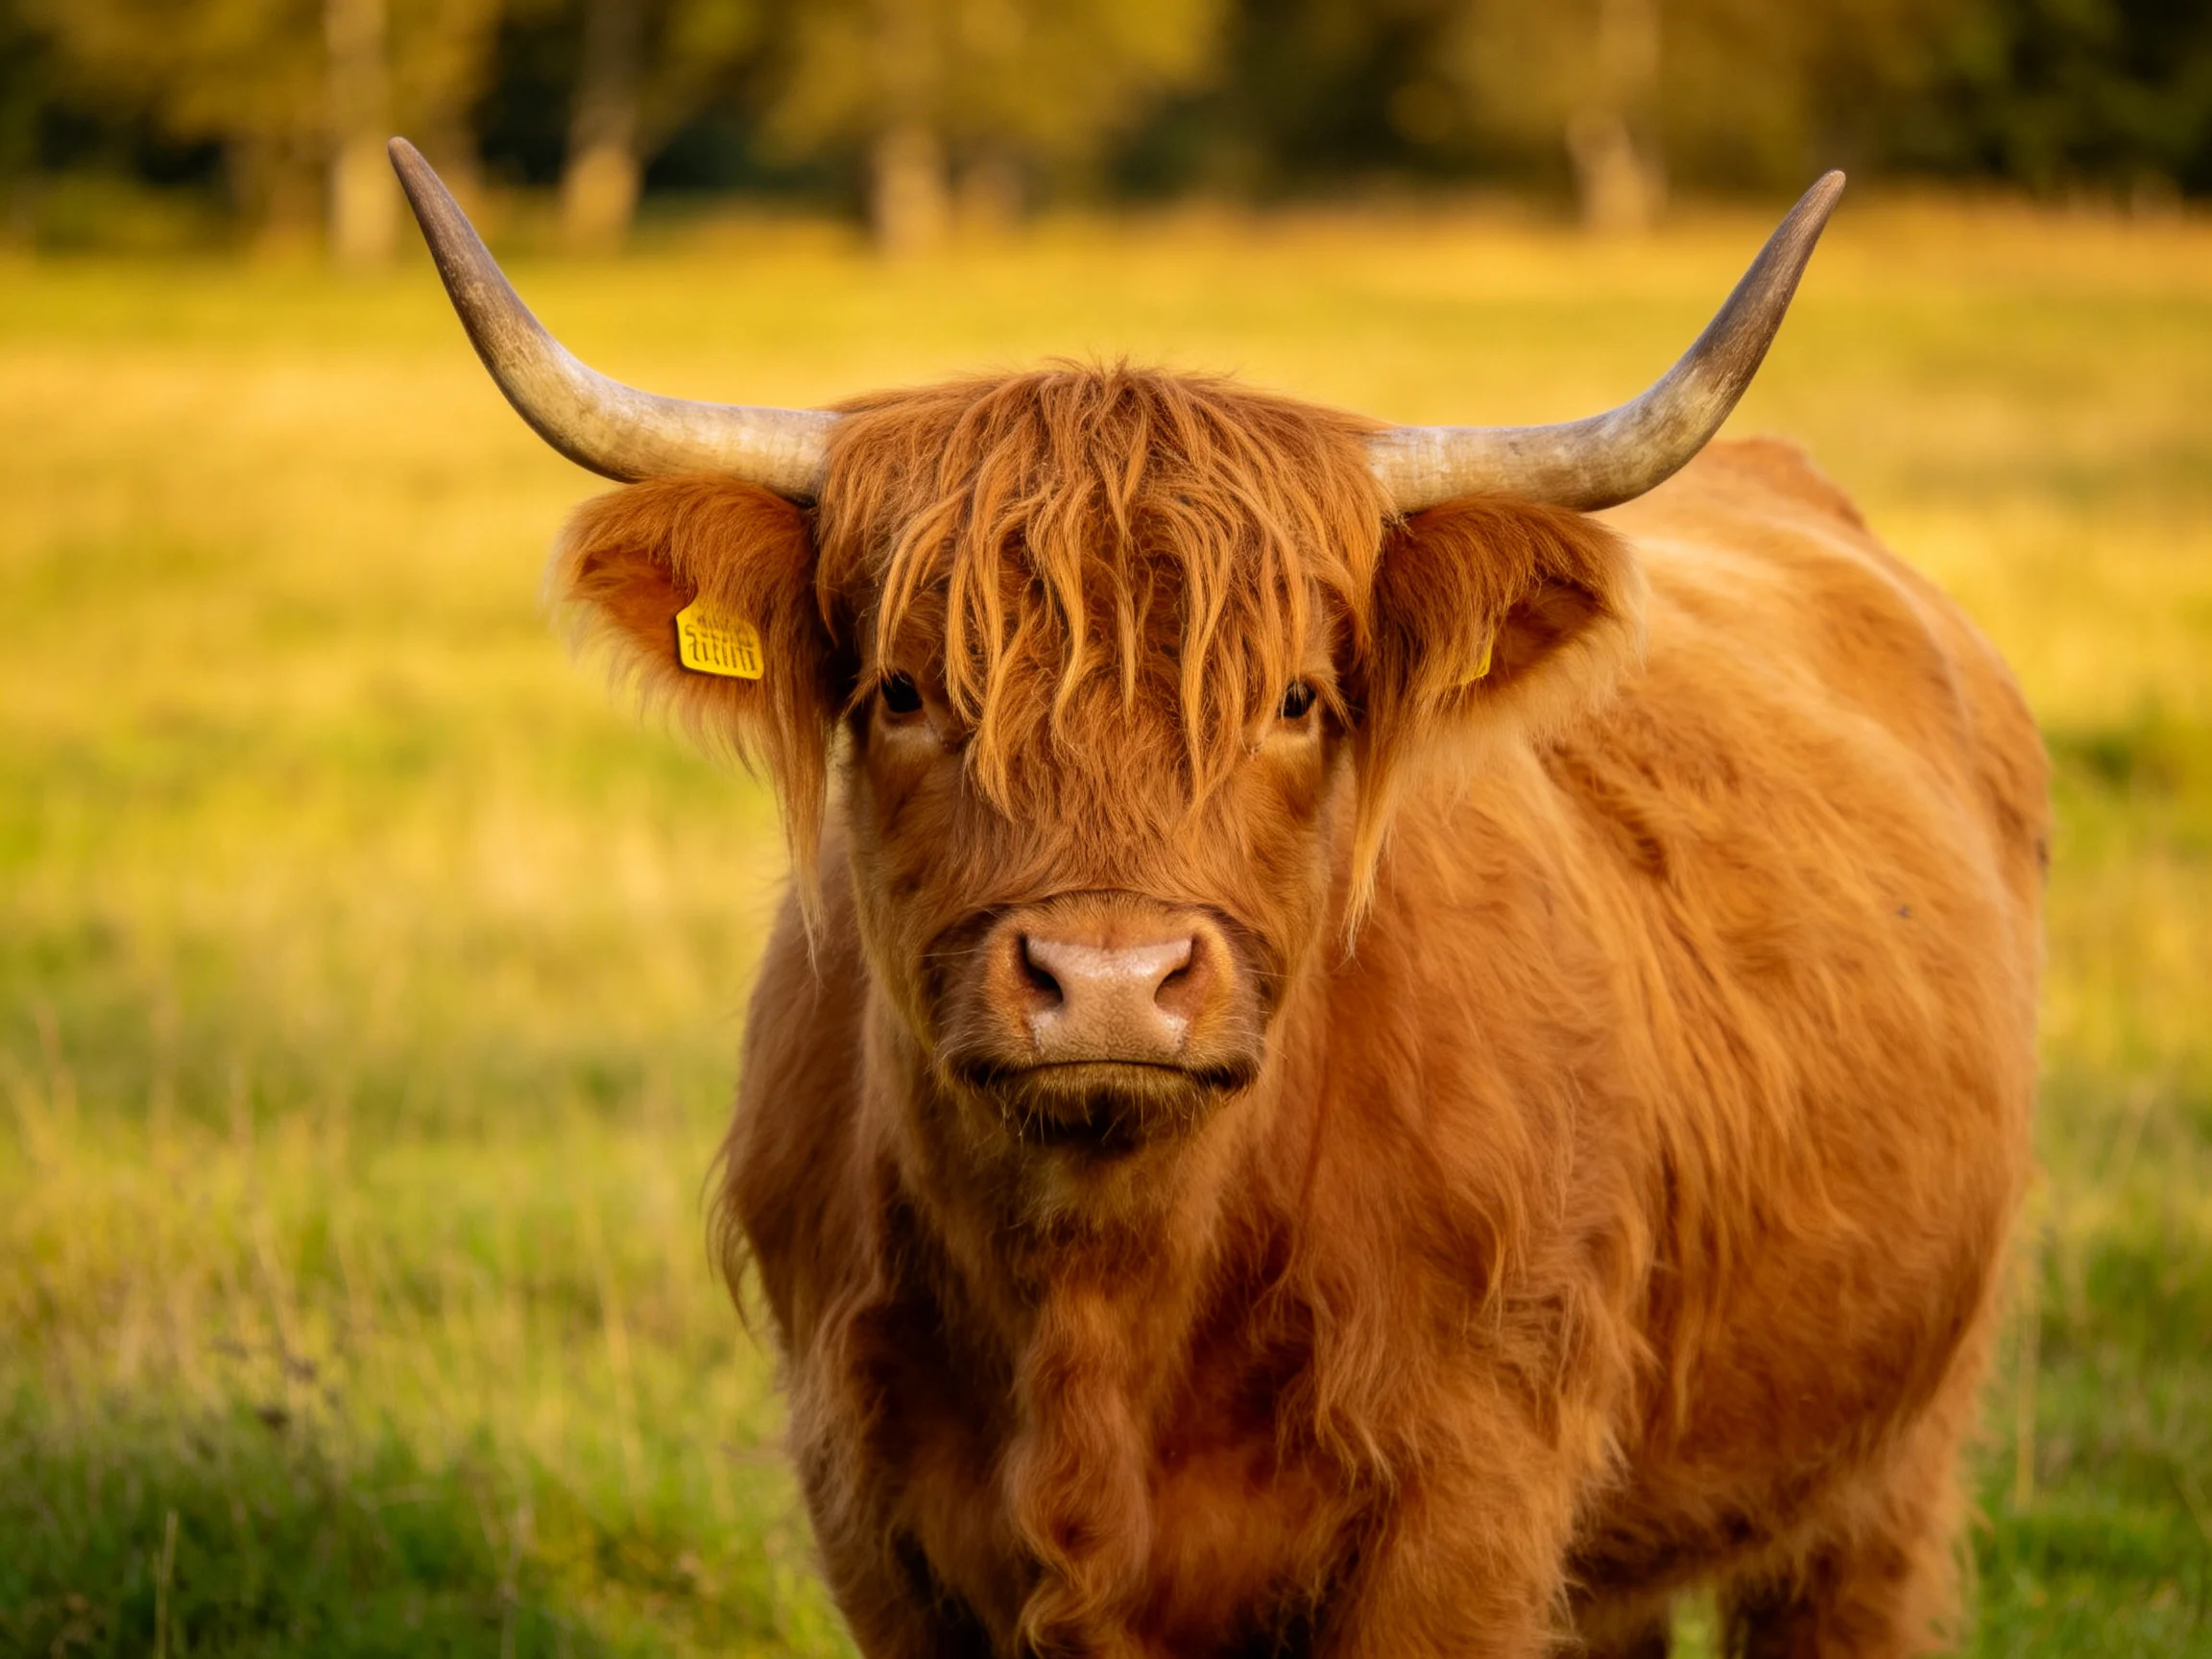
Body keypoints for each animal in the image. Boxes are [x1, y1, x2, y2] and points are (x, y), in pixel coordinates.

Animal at [391, 139, 2046, 1658]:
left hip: (1888, 1459)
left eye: (1299, 699)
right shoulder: (871, 1510)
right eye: (906, 691)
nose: (1110, 983)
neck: (1101, 1295)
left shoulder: (1468, 1515)